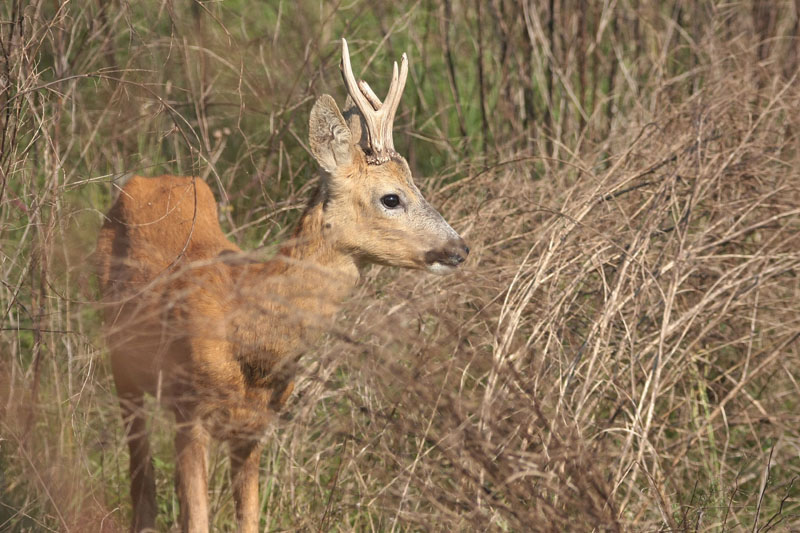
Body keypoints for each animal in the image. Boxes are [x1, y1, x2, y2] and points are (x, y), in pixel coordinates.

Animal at [94, 38, 468, 532]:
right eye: (392, 198)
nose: (460, 248)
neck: (252, 335)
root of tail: (141, 180)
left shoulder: (257, 424)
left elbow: (249, 519)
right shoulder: (189, 411)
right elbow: (195, 518)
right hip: (121, 361)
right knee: (141, 483)